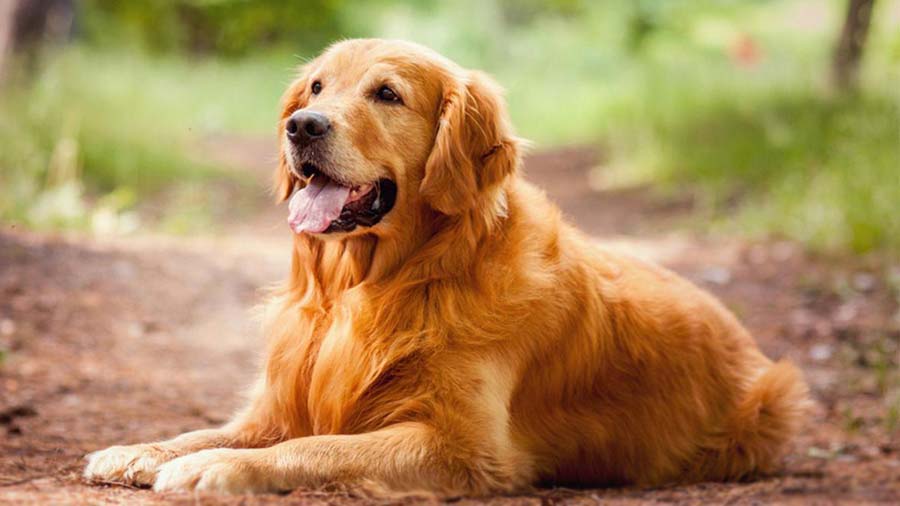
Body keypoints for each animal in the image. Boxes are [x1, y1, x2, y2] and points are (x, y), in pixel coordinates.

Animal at [82, 38, 808, 494]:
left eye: (387, 94)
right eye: (316, 86)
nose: (302, 125)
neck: (375, 285)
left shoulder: (466, 446)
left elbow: (315, 447)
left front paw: (218, 470)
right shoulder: (280, 402)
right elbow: (210, 430)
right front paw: (142, 450)